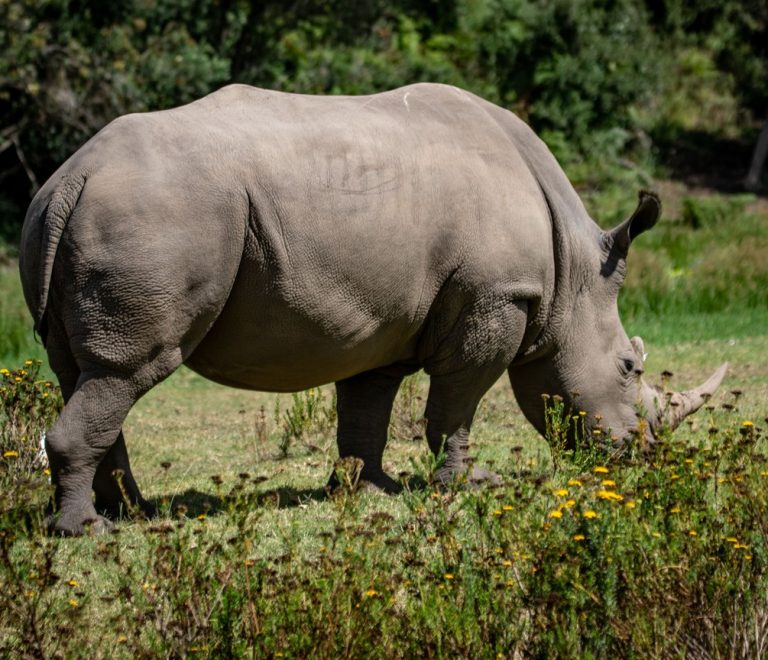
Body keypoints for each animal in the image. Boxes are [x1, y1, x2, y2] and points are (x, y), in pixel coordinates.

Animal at [19, 83, 726, 535]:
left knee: (85, 373)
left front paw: (365, 490)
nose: (641, 454)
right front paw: (470, 486)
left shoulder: (381, 318)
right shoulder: (498, 298)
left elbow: (366, 408)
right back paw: (89, 531)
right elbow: (455, 404)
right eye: (631, 369)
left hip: (72, 218)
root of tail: (70, 178)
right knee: (129, 370)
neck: (572, 275)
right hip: (159, 217)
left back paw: (137, 514)